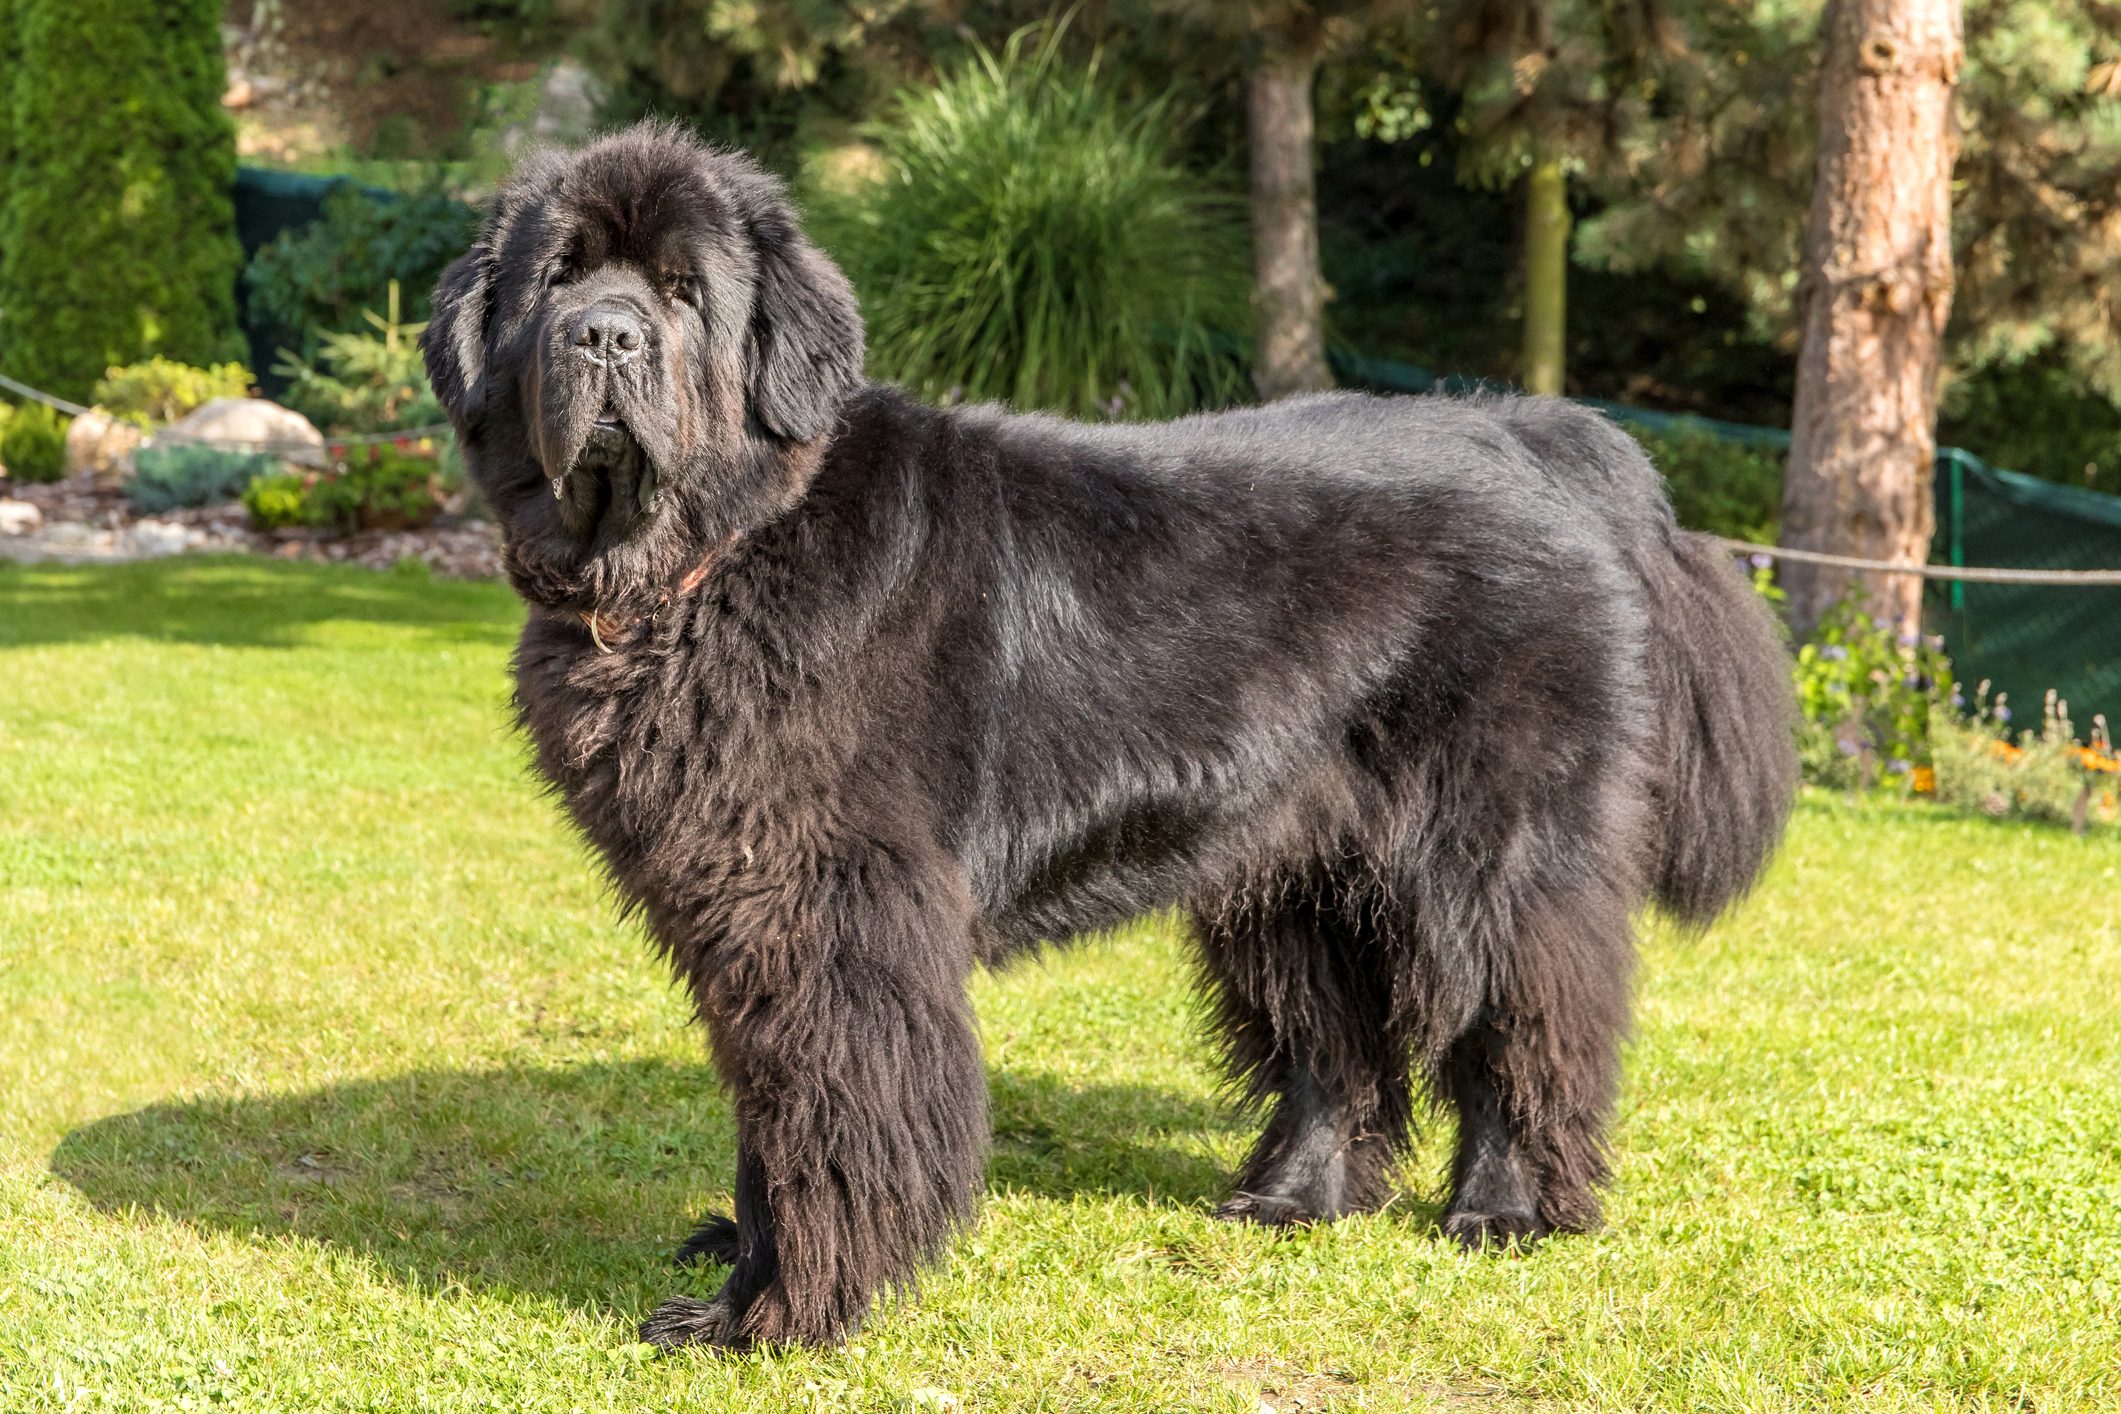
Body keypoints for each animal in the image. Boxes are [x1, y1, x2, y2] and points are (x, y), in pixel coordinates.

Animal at [422, 127, 1798, 1356]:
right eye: (558, 278)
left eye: (682, 291)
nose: (606, 333)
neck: (718, 556)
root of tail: (1540, 434)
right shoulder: (743, 914)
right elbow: (773, 1112)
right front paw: (748, 1273)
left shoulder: (829, 916)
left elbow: (826, 1118)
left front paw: (773, 1316)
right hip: (1293, 864)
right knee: (1333, 1040)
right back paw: (1291, 1197)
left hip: (1500, 848)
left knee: (1525, 1011)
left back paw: (1508, 1208)